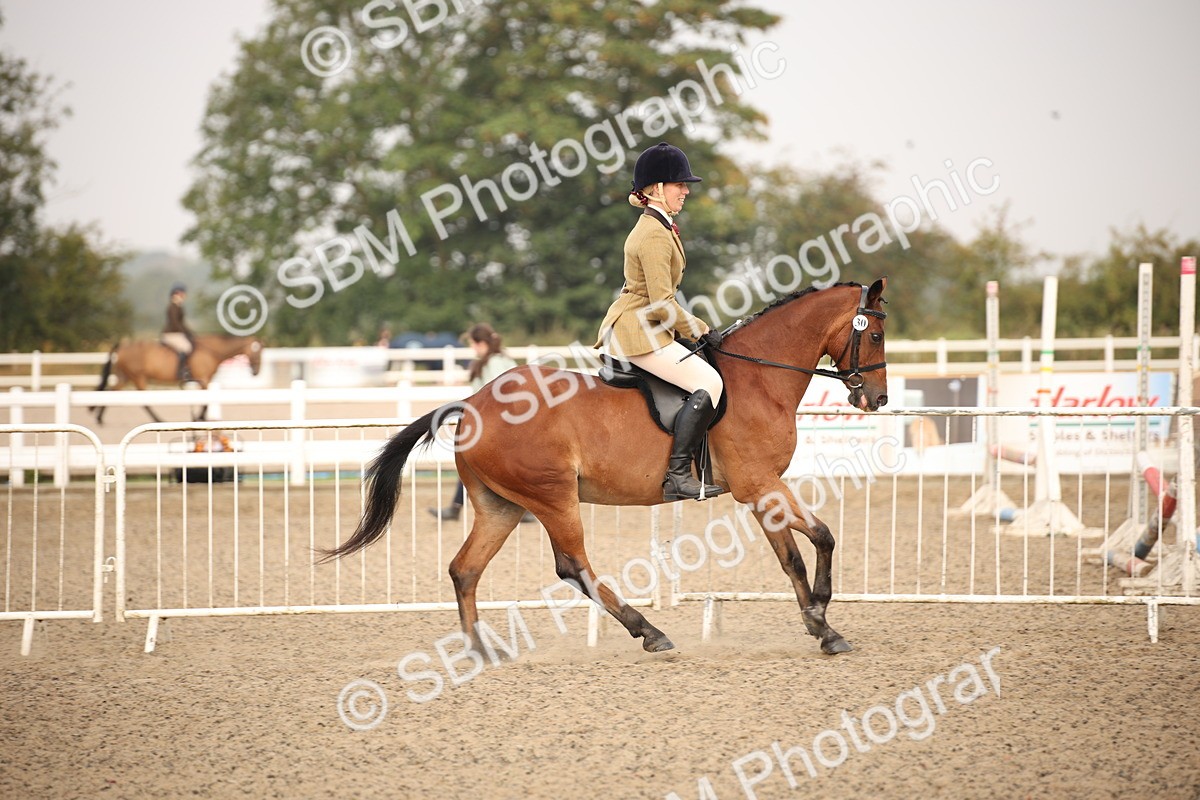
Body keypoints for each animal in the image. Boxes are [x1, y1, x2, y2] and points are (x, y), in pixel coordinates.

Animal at [92, 334, 264, 424]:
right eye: (256, 351)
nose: (256, 372)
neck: (211, 351)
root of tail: (122, 346)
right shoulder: (203, 379)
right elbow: (206, 402)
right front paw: (200, 418)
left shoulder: (204, 380)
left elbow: (205, 400)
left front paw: (200, 417)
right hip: (137, 377)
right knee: (143, 401)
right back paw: (159, 420)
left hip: (125, 376)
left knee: (111, 392)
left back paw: (99, 419)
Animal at [323, 278, 889, 656]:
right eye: (876, 336)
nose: (877, 399)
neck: (759, 377)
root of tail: (474, 402)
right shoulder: (760, 486)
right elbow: (811, 542)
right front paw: (823, 620)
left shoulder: (763, 490)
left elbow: (803, 549)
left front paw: (821, 622)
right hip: (554, 497)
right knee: (573, 566)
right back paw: (649, 632)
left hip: (500, 506)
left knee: (465, 568)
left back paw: (481, 649)